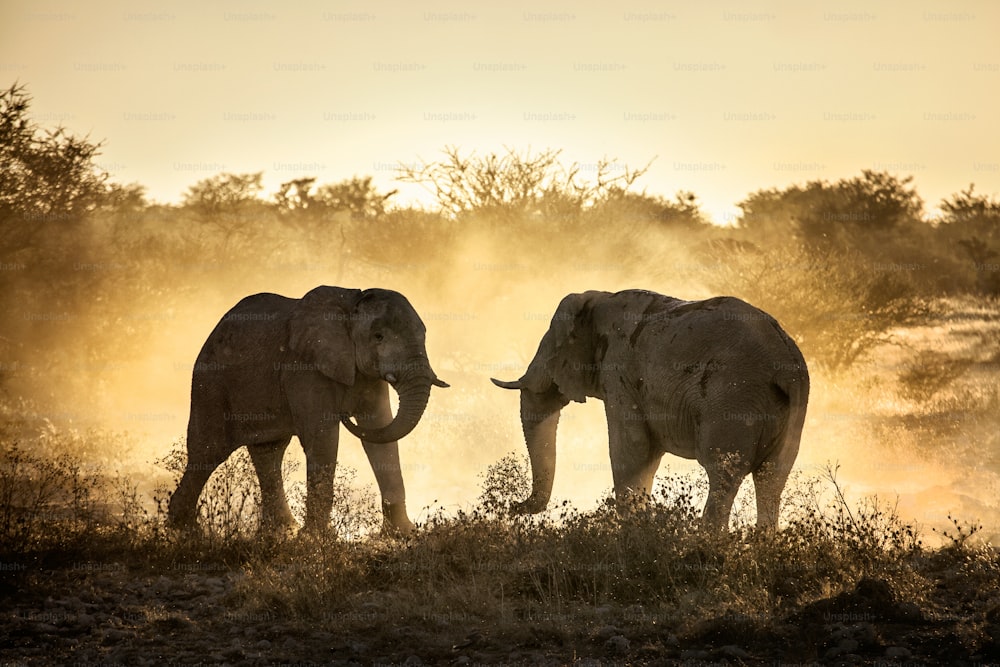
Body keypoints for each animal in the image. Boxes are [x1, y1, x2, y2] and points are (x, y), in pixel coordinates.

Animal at [166, 284, 448, 536]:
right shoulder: (304, 368)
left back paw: (281, 533)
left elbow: (379, 430)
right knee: (208, 452)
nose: (344, 413)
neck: (350, 306)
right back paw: (186, 532)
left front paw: (404, 534)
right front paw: (317, 540)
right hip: (209, 384)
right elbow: (322, 437)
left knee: (268, 453)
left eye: (424, 335)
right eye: (378, 336)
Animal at [494, 290, 812, 528]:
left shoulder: (619, 372)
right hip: (790, 409)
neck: (599, 299)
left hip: (732, 397)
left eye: (550, 347)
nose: (512, 506)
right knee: (772, 477)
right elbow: (646, 455)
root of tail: (786, 362)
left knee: (723, 471)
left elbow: (631, 450)